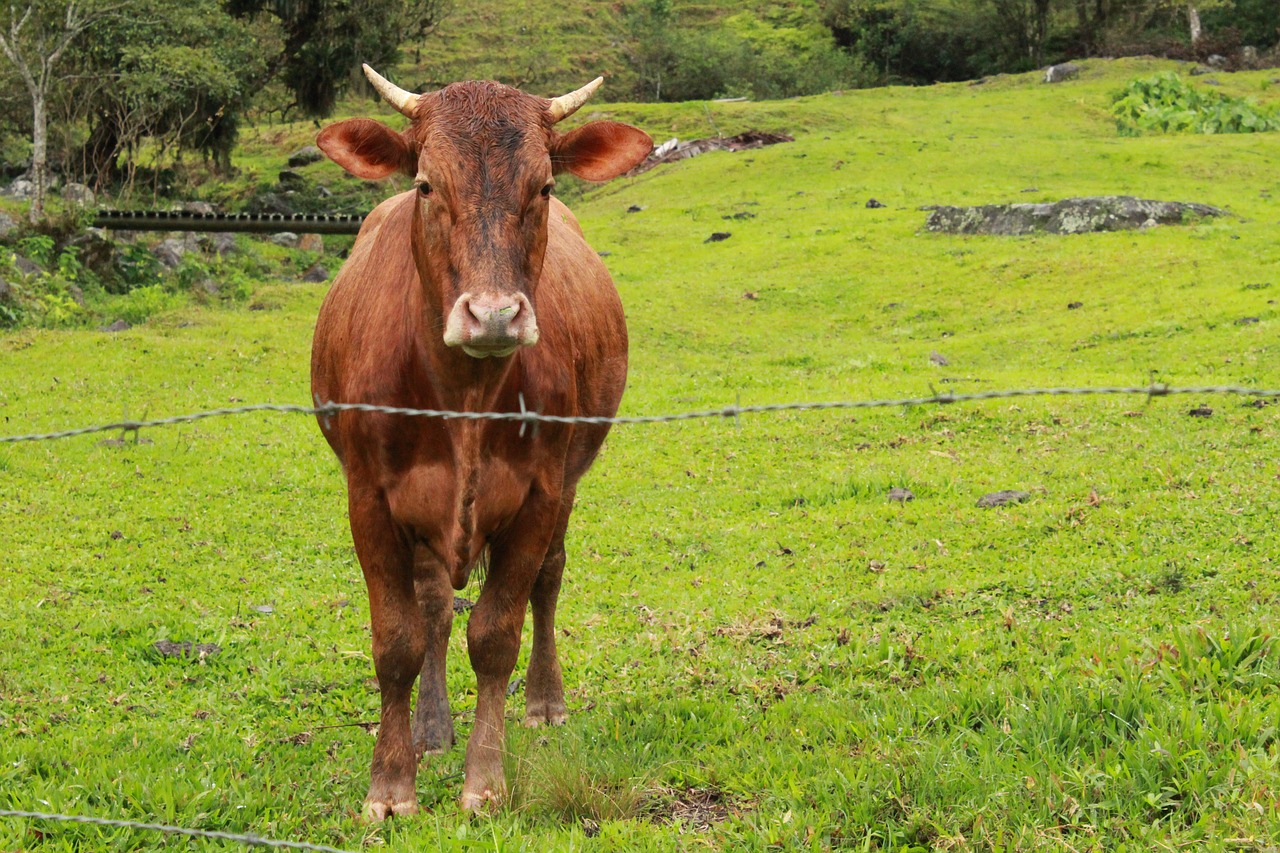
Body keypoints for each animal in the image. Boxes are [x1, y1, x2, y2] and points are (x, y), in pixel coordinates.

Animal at [309, 68, 650, 819]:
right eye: (426, 185)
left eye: (543, 186)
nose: (493, 315)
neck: (463, 393)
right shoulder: (368, 500)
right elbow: (397, 640)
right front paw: (390, 785)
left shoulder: (540, 493)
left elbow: (496, 634)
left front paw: (484, 780)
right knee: (435, 603)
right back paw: (432, 727)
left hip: (568, 480)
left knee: (548, 578)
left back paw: (545, 701)